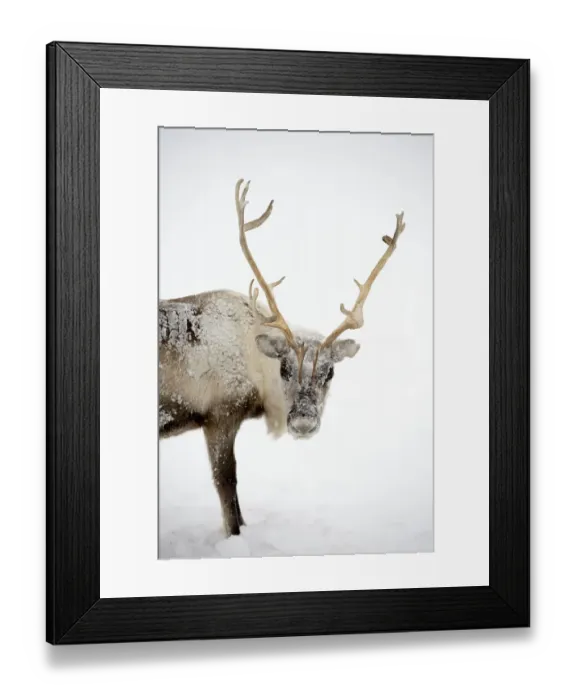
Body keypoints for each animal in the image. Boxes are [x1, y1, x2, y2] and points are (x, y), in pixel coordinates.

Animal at [159, 179, 407, 537]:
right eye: (284, 369)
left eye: (330, 372)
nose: (303, 423)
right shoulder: (219, 415)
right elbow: (227, 487)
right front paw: (234, 536)